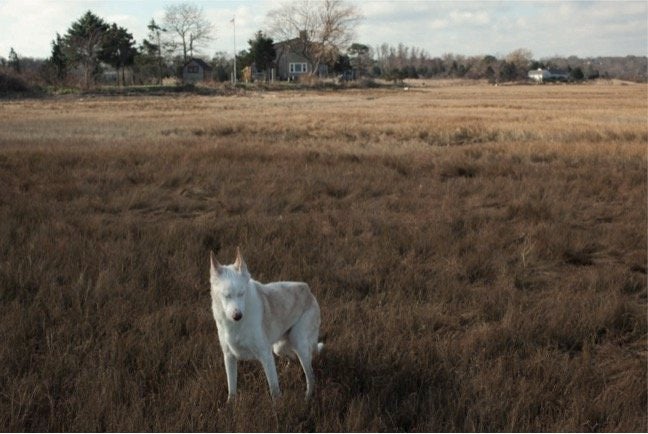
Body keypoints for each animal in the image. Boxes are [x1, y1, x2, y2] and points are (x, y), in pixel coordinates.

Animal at [209, 248, 322, 400]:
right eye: (226, 296)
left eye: (242, 293)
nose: (238, 316)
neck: (237, 325)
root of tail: (309, 291)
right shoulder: (229, 357)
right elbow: (231, 389)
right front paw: (230, 404)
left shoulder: (265, 354)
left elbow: (274, 389)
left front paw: (278, 405)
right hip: (278, 348)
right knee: (293, 358)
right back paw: (287, 371)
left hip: (298, 343)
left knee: (310, 376)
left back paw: (307, 398)